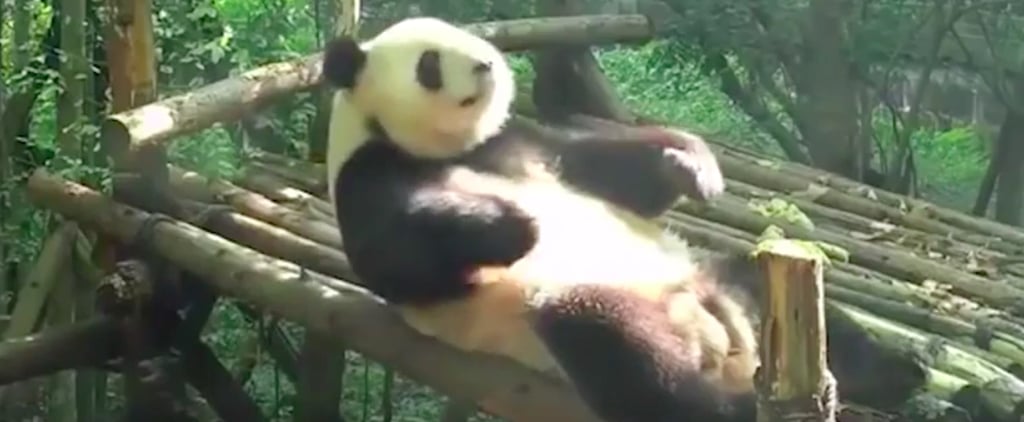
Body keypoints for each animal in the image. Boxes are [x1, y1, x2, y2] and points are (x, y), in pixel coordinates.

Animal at [320, 16, 926, 422]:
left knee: (767, 283)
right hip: (579, 305)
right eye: (428, 63)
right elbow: (399, 253)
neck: (446, 148)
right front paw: (512, 223)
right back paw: (730, 406)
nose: (486, 65)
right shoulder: (370, 173)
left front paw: (691, 167)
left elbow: (600, 168)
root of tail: (723, 342)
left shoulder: (519, 144)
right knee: (621, 351)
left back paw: (897, 374)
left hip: (719, 281)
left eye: (469, 38)